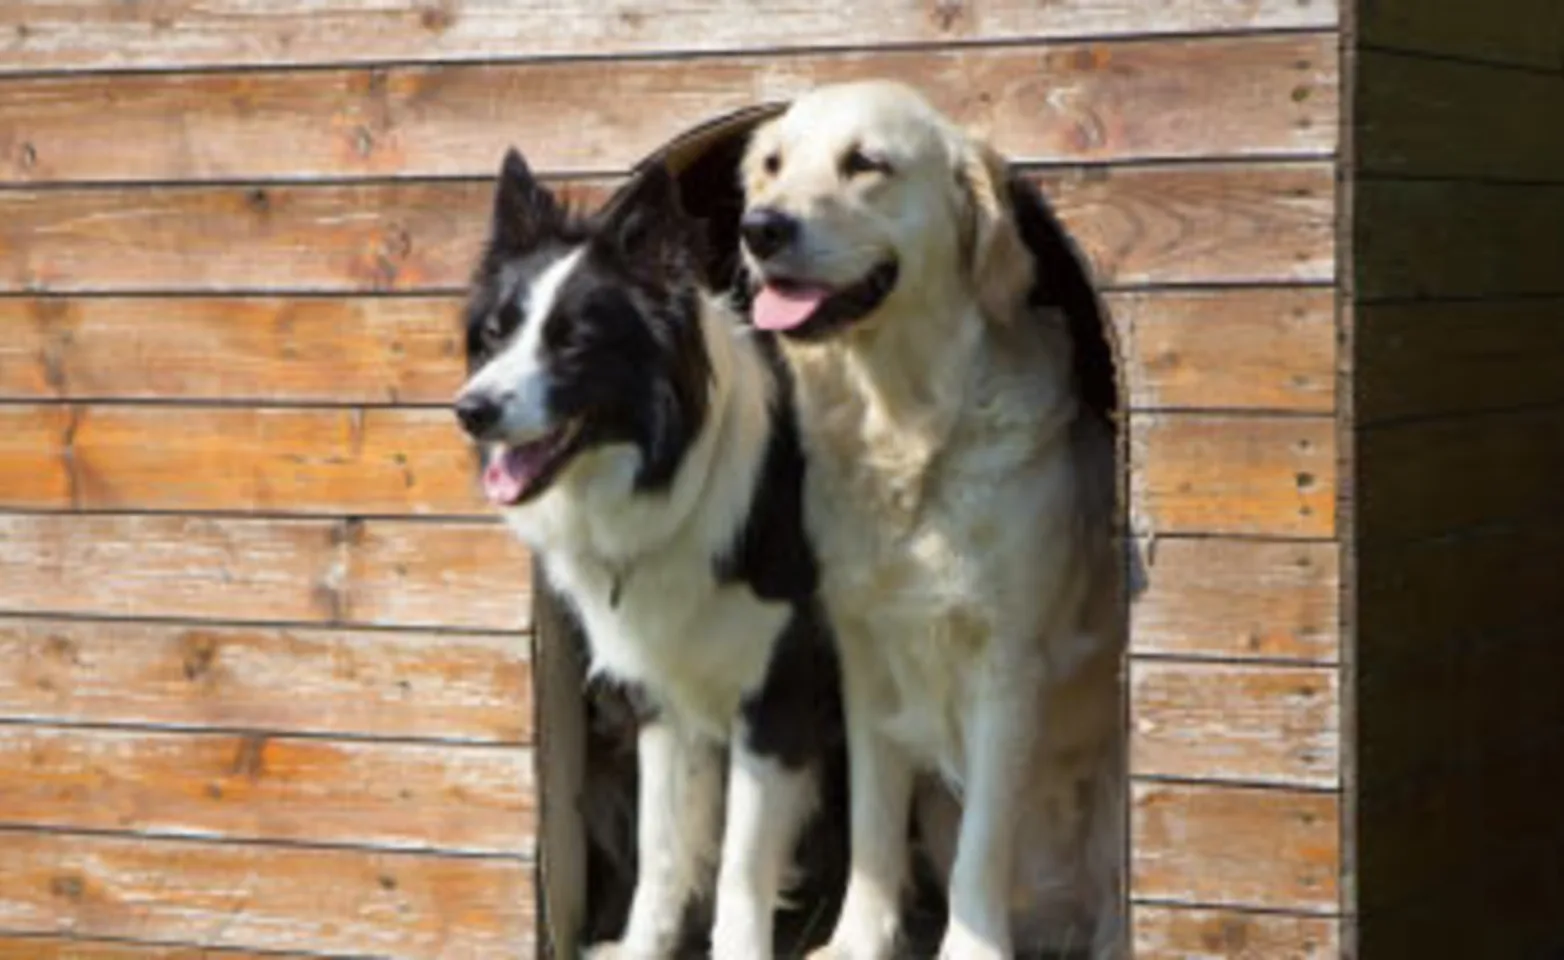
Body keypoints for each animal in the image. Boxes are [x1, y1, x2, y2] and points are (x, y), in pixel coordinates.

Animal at [453, 146, 844, 956]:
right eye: (497, 333)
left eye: (573, 340)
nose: (469, 411)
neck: (674, 474)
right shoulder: (664, 697)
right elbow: (663, 851)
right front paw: (641, 947)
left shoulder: (779, 699)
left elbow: (739, 869)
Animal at [735, 82, 1126, 960]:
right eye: (771, 164)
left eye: (866, 163)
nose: (760, 228)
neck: (905, 430)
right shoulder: (862, 650)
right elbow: (874, 823)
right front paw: (857, 940)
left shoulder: (1008, 661)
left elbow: (987, 839)